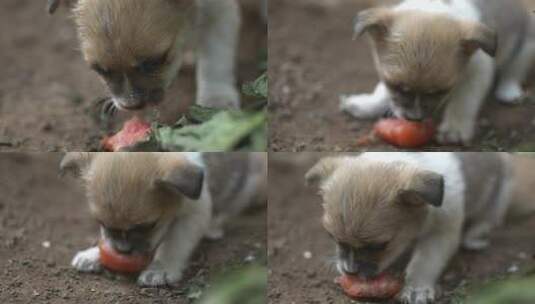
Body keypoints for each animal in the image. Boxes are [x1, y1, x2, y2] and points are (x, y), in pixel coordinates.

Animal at [49, 0, 242, 111]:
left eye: (153, 62)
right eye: (100, 70)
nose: (131, 106)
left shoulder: (218, 14)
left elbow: (215, 62)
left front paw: (216, 99)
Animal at [59, 153, 266, 286]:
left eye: (148, 226)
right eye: (101, 223)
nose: (123, 251)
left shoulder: (194, 214)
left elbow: (173, 245)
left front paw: (160, 269)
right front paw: (93, 254)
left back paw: (214, 229)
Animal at [306, 153, 535, 302]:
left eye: (380, 246)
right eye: (332, 237)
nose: (350, 272)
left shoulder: (440, 235)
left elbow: (424, 262)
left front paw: (416, 287)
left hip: (504, 185)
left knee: (490, 216)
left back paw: (475, 236)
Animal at [342, 0, 535, 144]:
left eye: (440, 91)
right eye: (397, 86)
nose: (415, 119)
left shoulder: (477, 73)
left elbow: (463, 101)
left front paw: (454, 129)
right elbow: (383, 92)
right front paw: (366, 105)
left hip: (527, 45)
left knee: (513, 71)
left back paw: (509, 92)